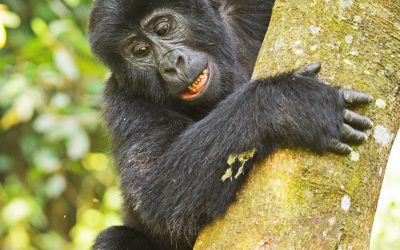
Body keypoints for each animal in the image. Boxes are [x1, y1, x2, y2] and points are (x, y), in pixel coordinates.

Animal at [89, 0, 374, 250]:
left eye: (162, 28)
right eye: (139, 51)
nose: (171, 64)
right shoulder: (123, 103)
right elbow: (159, 198)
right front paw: (295, 103)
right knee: (114, 238)